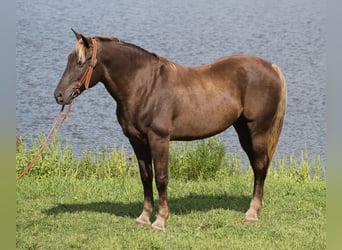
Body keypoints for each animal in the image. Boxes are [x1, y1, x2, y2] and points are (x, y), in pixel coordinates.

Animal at [54, 29, 288, 230]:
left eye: (81, 62)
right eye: (68, 59)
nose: (59, 95)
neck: (144, 86)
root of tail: (271, 67)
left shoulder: (159, 139)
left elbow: (161, 178)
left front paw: (160, 221)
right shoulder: (137, 140)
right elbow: (146, 177)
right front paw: (144, 218)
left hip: (257, 131)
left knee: (260, 166)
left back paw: (252, 213)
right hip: (243, 131)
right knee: (258, 166)